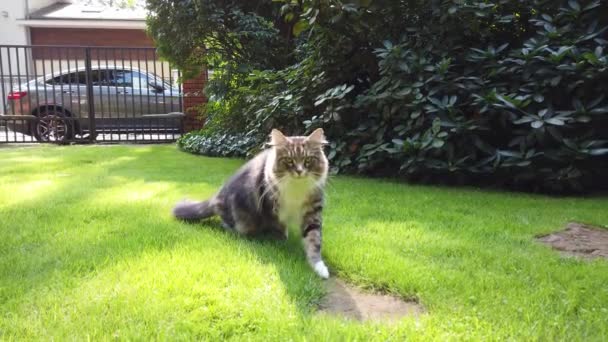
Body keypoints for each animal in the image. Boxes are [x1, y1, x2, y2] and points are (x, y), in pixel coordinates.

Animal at [171, 128, 332, 278]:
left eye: (308, 160)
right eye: (289, 161)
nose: (299, 171)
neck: (296, 188)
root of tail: (217, 195)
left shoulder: (312, 211)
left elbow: (313, 240)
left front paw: (319, 268)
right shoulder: (271, 208)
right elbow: (279, 230)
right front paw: (282, 244)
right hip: (242, 219)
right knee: (229, 224)